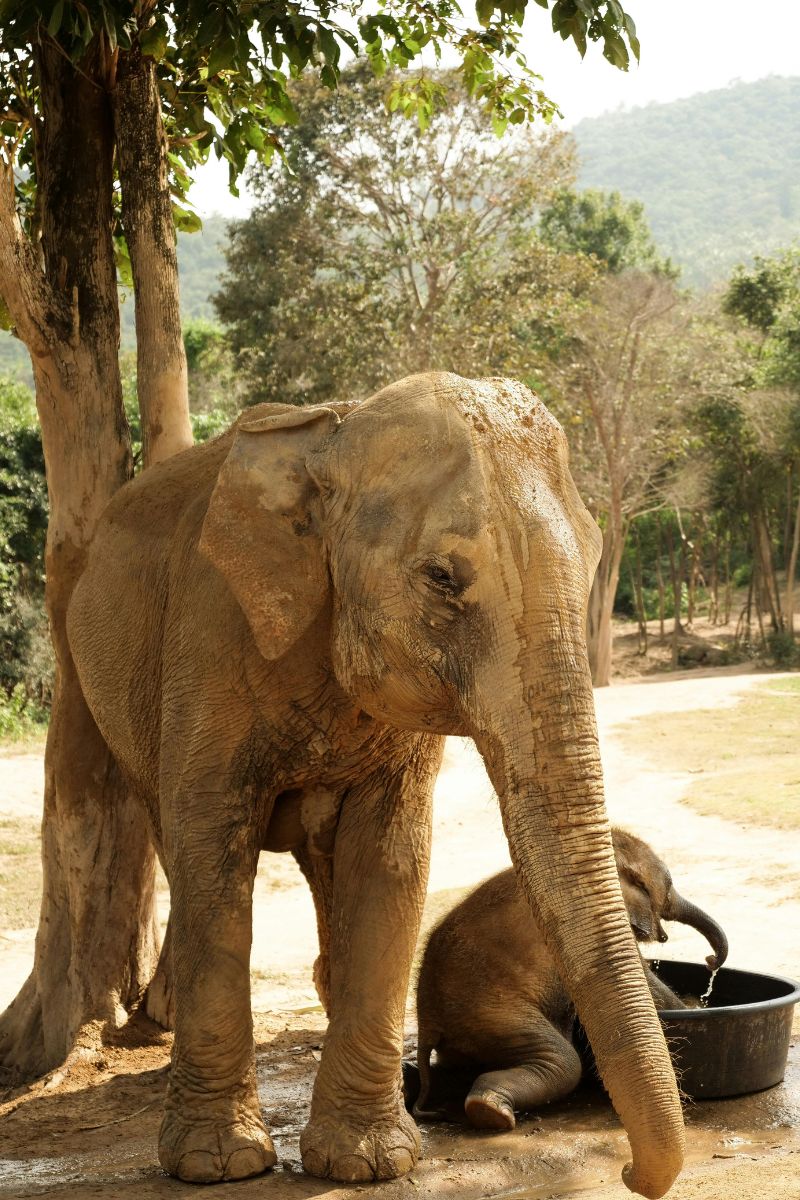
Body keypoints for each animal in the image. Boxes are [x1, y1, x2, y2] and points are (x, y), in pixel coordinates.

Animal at [66, 371, 685, 1199]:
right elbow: (211, 849)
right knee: (180, 844)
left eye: (593, 564)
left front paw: (367, 1164)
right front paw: (218, 1166)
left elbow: (389, 860)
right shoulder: (208, 635)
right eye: (441, 578)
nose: (628, 1173)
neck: (333, 433)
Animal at [414, 827, 728, 1130]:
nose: (710, 960)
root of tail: (426, 1020)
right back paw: (492, 1114)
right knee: (563, 1062)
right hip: (492, 1014)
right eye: (670, 884)